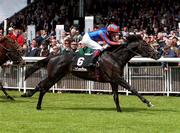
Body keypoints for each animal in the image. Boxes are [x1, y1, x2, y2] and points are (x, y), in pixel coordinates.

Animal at [22, 34, 160, 111]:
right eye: (146, 45)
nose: (158, 54)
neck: (115, 57)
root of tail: (53, 56)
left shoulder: (113, 80)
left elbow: (116, 96)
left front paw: (119, 110)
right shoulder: (117, 78)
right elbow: (133, 89)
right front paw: (148, 103)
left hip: (57, 76)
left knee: (42, 86)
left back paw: (32, 99)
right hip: (54, 75)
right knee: (42, 86)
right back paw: (33, 101)